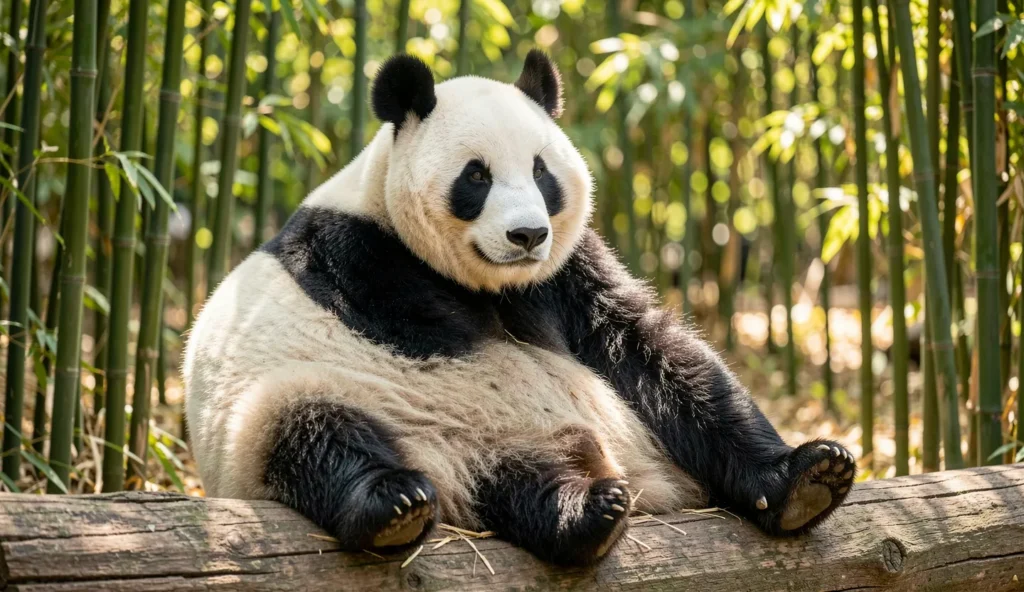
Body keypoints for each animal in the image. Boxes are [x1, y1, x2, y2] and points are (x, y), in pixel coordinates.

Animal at [184, 50, 855, 566]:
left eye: (541, 171)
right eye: (475, 176)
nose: (528, 235)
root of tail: (452, 472)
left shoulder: (570, 270)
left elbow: (652, 352)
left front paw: (799, 471)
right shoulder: (354, 256)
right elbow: (434, 327)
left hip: (504, 448)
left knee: (522, 488)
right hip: (288, 408)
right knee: (319, 438)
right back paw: (396, 505)